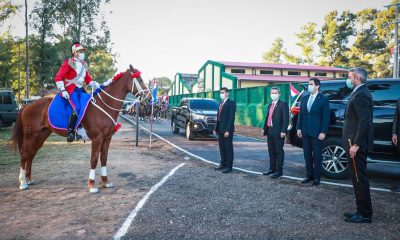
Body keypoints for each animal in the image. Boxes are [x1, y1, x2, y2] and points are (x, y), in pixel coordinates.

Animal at [10, 64, 149, 192]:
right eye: (140, 79)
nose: (149, 98)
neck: (104, 105)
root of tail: (26, 106)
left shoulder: (107, 138)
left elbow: (104, 159)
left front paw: (105, 181)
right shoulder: (97, 139)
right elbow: (94, 160)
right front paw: (92, 185)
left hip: (41, 135)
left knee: (31, 154)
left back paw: (28, 179)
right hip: (31, 135)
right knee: (25, 155)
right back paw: (22, 182)